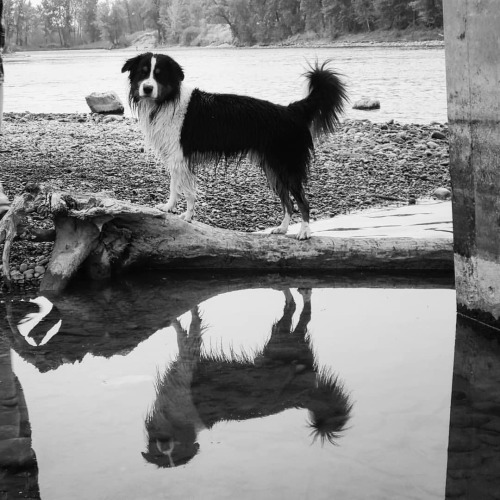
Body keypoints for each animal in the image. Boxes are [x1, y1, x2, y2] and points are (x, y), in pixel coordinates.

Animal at [122, 53, 348, 241]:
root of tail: (291, 110)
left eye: (158, 75)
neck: (166, 101)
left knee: (303, 202)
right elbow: (179, 187)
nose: (147, 88)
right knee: (288, 202)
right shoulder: (177, 157)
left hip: (287, 166)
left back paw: (304, 232)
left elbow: (182, 189)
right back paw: (282, 229)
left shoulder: (179, 156)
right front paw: (174, 210)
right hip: (273, 169)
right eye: (143, 73)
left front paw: (183, 214)